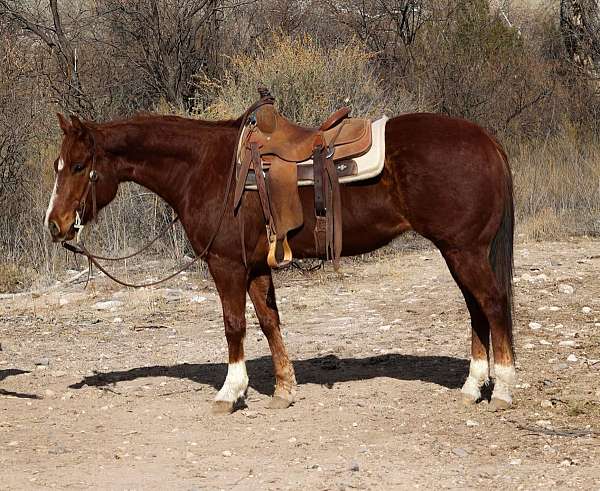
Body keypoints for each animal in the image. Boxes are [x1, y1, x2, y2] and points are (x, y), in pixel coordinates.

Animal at [45, 110, 516, 412]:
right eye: (58, 165)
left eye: (80, 166)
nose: (55, 225)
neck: (207, 169)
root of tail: (486, 139)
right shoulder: (255, 267)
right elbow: (269, 322)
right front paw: (285, 389)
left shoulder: (227, 265)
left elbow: (234, 325)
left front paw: (230, 392)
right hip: (457, 252)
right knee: (477, 311)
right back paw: (473, 387)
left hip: (464, 251)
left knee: (493, 306)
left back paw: (503, 391)